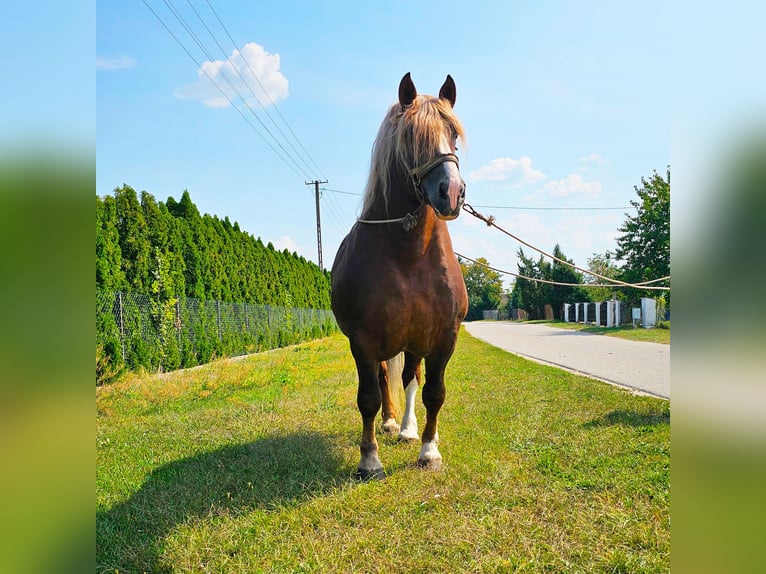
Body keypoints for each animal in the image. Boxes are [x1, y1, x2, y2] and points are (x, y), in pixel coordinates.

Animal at [332, 74, 472, 484]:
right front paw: (369, 460)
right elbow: (368, 398)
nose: (452, 193)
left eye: (452, 134)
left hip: (413, 341)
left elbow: (434, 393)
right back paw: (392, 423)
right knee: (383, 380)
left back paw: (408, 430)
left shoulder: (443, 337)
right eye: (412, 136)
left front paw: (429, 450)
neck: (409, 254)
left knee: (410, 377)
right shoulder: (363, 340)